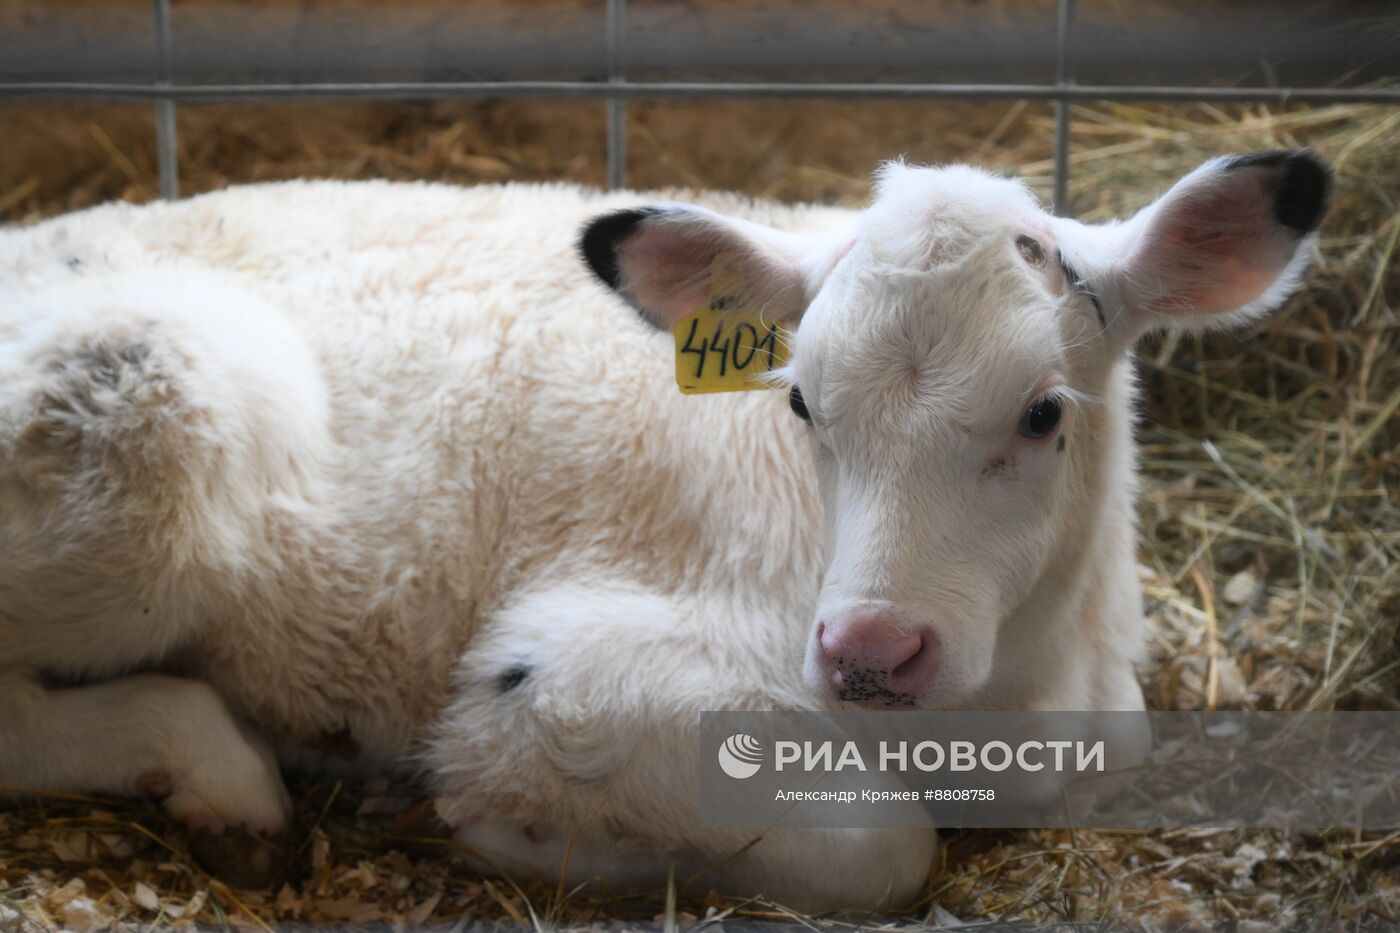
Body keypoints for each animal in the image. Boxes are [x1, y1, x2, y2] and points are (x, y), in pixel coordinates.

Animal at [0, 152, 1327, 907]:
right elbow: (878, 850)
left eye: (1044, 411)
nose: (870, 648)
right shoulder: (570, 678)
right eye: (798, 400)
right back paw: (218, 774)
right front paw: (528, 838)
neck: (1012, 700)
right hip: (146, 423)